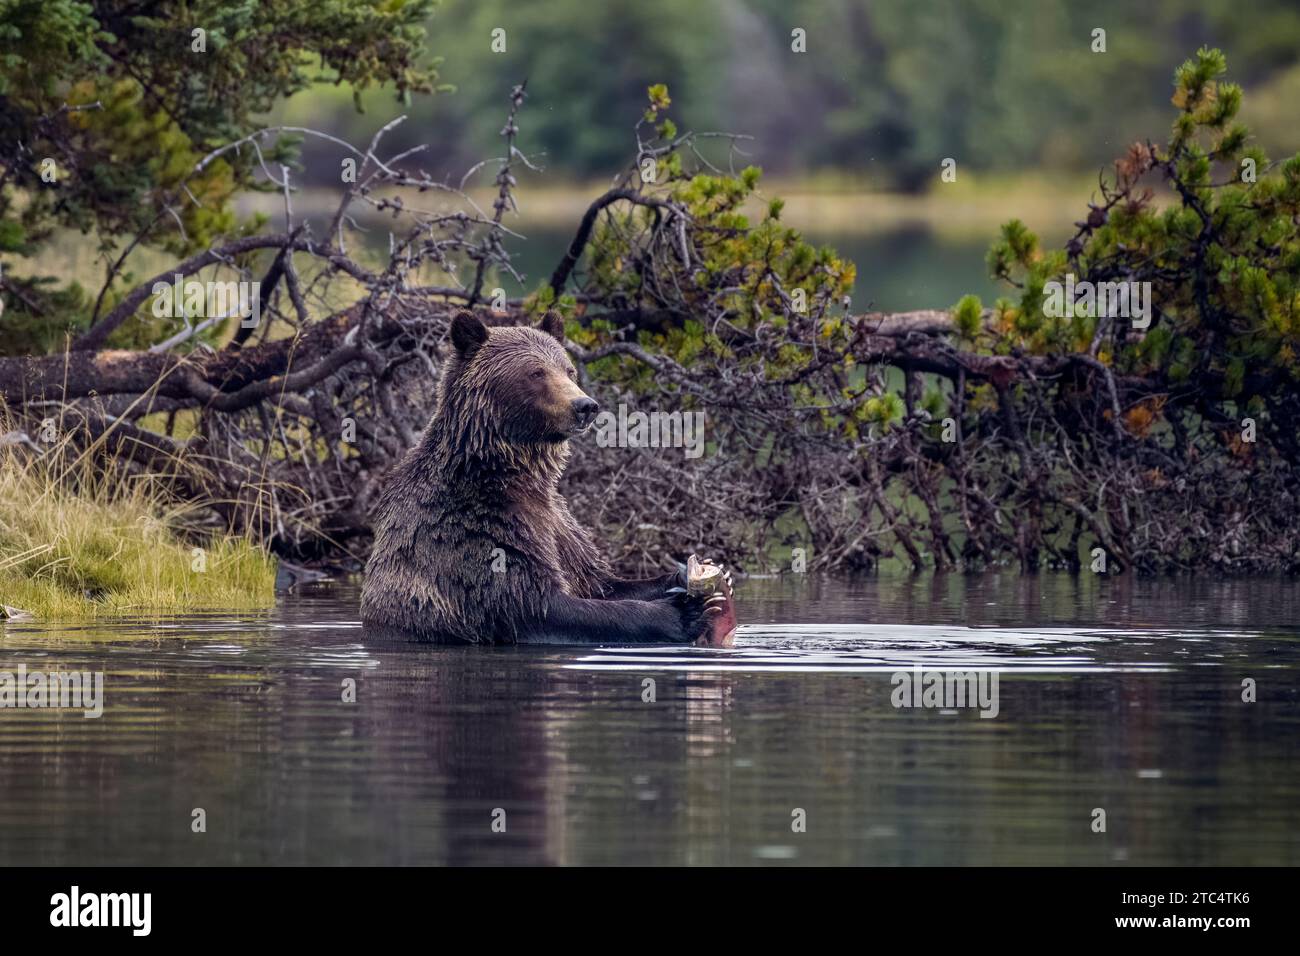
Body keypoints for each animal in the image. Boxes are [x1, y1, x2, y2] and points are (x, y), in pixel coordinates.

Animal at [361, 310, 728, 647]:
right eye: (536, 372)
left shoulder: (560, 526)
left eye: (568, 369)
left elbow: (600, 581)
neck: (510, 473)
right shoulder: (473, 529)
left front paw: (692, 573)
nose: (585, 405)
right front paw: (683, 612)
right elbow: (538, 604)